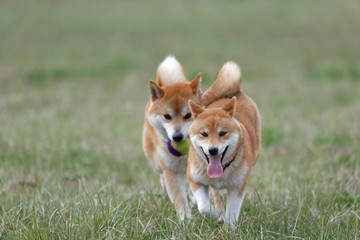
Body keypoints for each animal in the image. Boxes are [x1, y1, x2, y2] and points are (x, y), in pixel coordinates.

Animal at [141, 55, 202, 220]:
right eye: (167, 116)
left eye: (188, 115)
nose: (177, 136)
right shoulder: (171, 172)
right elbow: (179, 199)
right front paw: (186, 220)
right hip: (157, 163)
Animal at [186, 61, 262, 228]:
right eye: (204, 134)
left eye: (223, 133)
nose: (213, 150)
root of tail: (236, 92)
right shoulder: (195, 180)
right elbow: (204, 207)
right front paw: (215, 216)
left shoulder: (238, 186)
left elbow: (232, 212)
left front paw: (228, 229)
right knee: (216, 194)